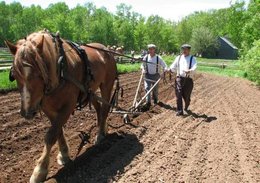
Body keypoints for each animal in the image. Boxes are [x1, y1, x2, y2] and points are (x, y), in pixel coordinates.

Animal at [5, 30, 117, 183]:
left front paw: (39, 170)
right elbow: (58, 131)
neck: (60, 69)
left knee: (105, 109)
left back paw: (100, 135)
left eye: (38, 73)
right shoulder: (48, 108)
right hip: (90, 91)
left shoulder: (68, 105)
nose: (27, 113)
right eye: (14, 75)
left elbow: (51, 135)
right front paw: (63, 155)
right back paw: (103, 129)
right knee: (99, 109)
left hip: (107, 84)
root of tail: (106, 49)